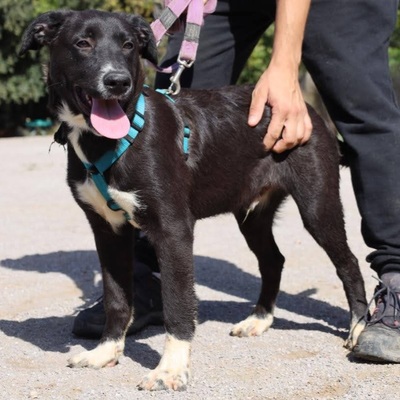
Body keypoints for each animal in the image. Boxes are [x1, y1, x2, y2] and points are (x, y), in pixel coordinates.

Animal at [20, 8, 368, 390]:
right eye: (83, 43)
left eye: (129, 46)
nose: (117, 82)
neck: (111, 137)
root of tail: (308, 110)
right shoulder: (107, 230)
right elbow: (116, 298)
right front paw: (107, 351)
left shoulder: (173, 229)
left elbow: (177, 303)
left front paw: (171, 369)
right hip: (253, 215)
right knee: (273, 260)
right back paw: (259, 319)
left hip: (318, 204)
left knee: (348, 263)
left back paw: (360, 328)